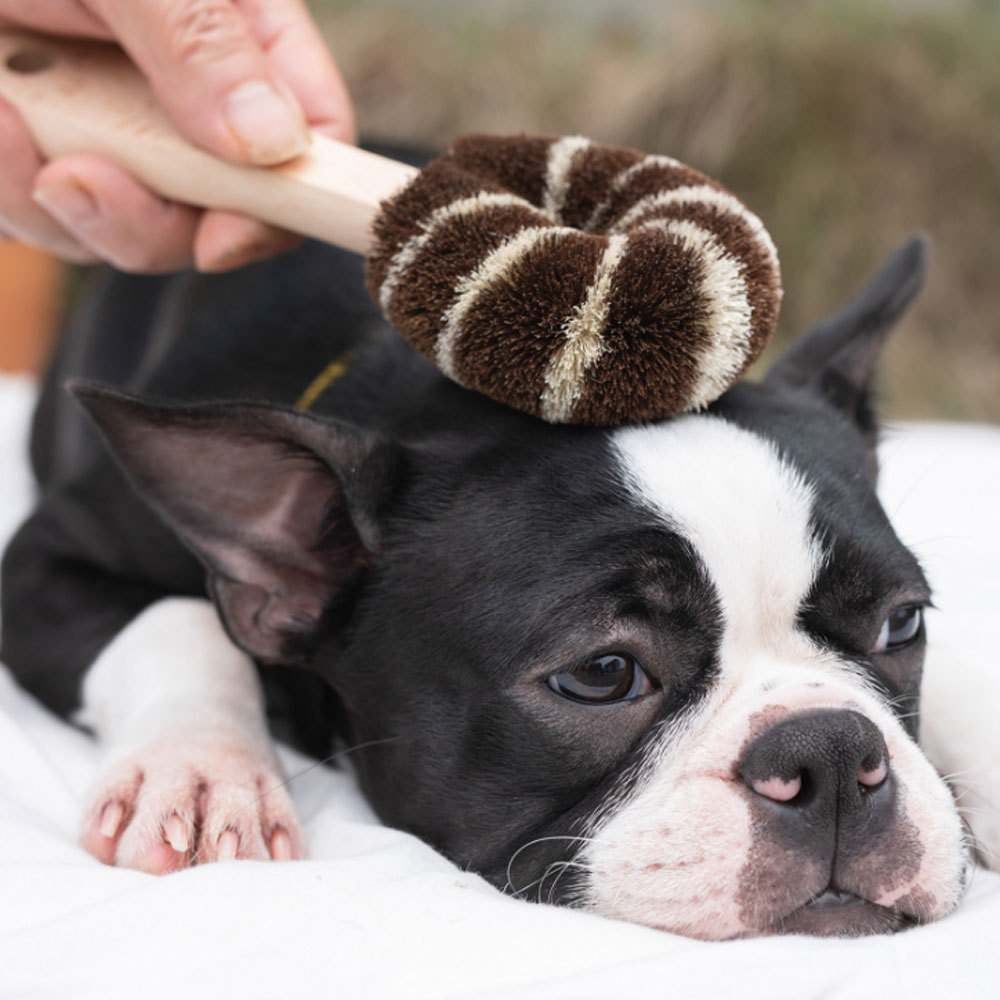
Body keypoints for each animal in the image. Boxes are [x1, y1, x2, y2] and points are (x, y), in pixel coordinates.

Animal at [0, 234, 976, 936]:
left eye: (901, 626)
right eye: (601, 675)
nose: (831, 753)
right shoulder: (41, 562)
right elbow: (177, 621)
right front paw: (202, 773)